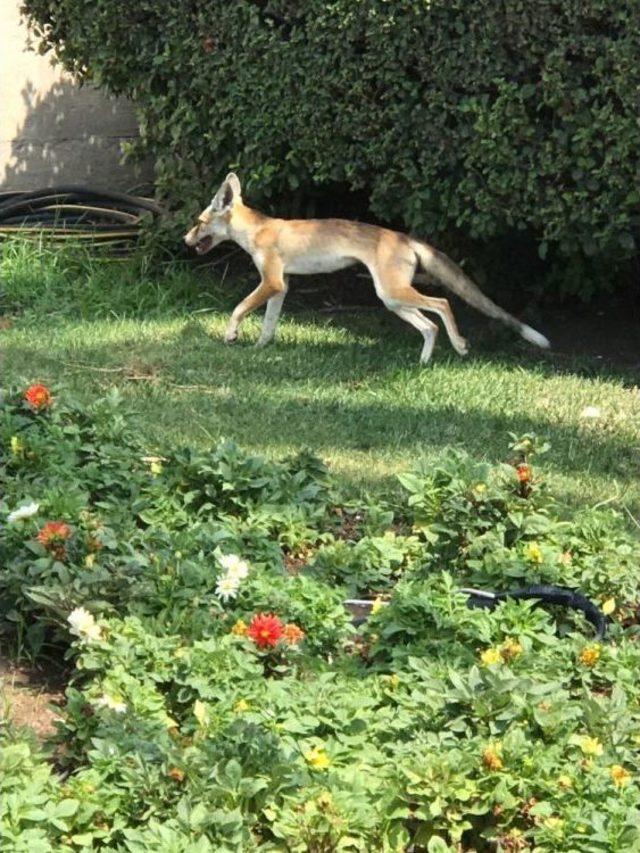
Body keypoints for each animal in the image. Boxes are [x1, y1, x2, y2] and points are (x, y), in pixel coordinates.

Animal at [182, 171, 548, 362]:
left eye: (199, 222)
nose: (185, 240)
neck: (258, 231)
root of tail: (404, 237)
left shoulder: (272, 281)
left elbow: (239, 308)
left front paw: (232, 335)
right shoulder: (281, 286)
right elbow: (269, 325)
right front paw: (259, 349)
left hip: (393, 292)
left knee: (443, 303)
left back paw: (458, 345)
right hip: (392, 299)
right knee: (430, 325)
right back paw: (423, 363)